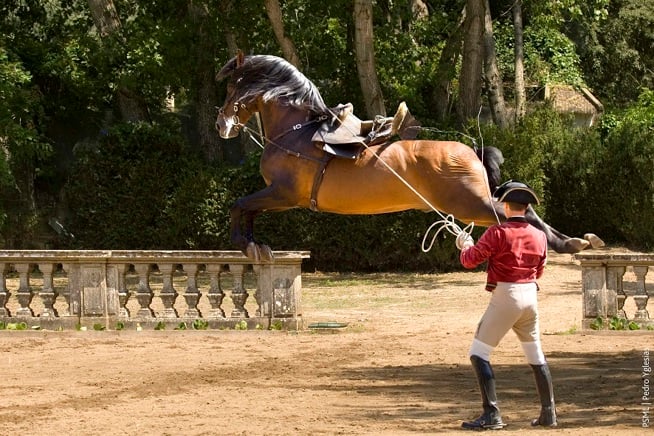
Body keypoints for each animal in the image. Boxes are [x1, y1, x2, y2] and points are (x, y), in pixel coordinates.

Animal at [215, 52, 602, 261]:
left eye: (233, 86)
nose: (222, 124)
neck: (296, 129)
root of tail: (470, 151)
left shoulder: (283, 193)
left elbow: (240, 204)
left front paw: (246, 244)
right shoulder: (280, 196)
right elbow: (247, 209)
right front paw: (253, 245)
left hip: (469, 204)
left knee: (512, 215)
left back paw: (565, 243)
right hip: (472, 202)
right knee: (525, 211)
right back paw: (575, 242)